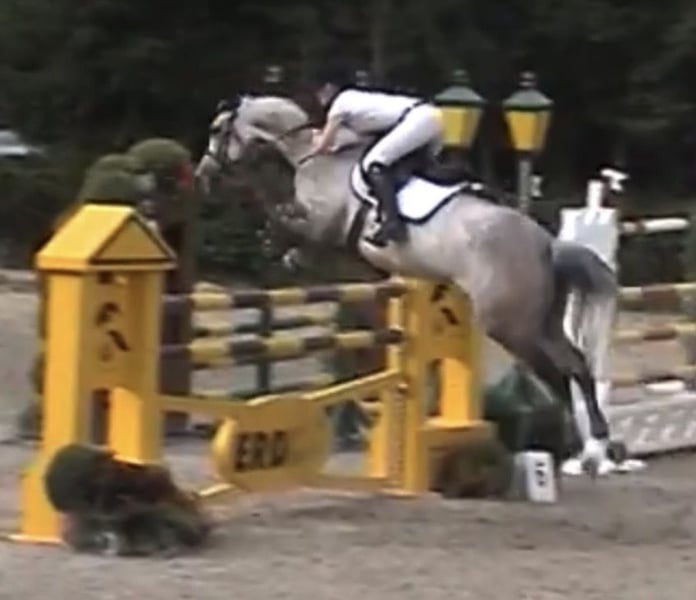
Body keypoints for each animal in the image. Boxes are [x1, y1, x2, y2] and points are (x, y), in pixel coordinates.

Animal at [194, 94, 620, 477]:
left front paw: (280, 245)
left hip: (511, 326)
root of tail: (547, 244)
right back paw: (589, 443)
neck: (312, 155)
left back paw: (578, 444)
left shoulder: (319, 223)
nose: (201, 177)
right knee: (576, 366)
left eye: (216, 130)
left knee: (555, 373)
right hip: (542, 322)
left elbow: (281, 213)